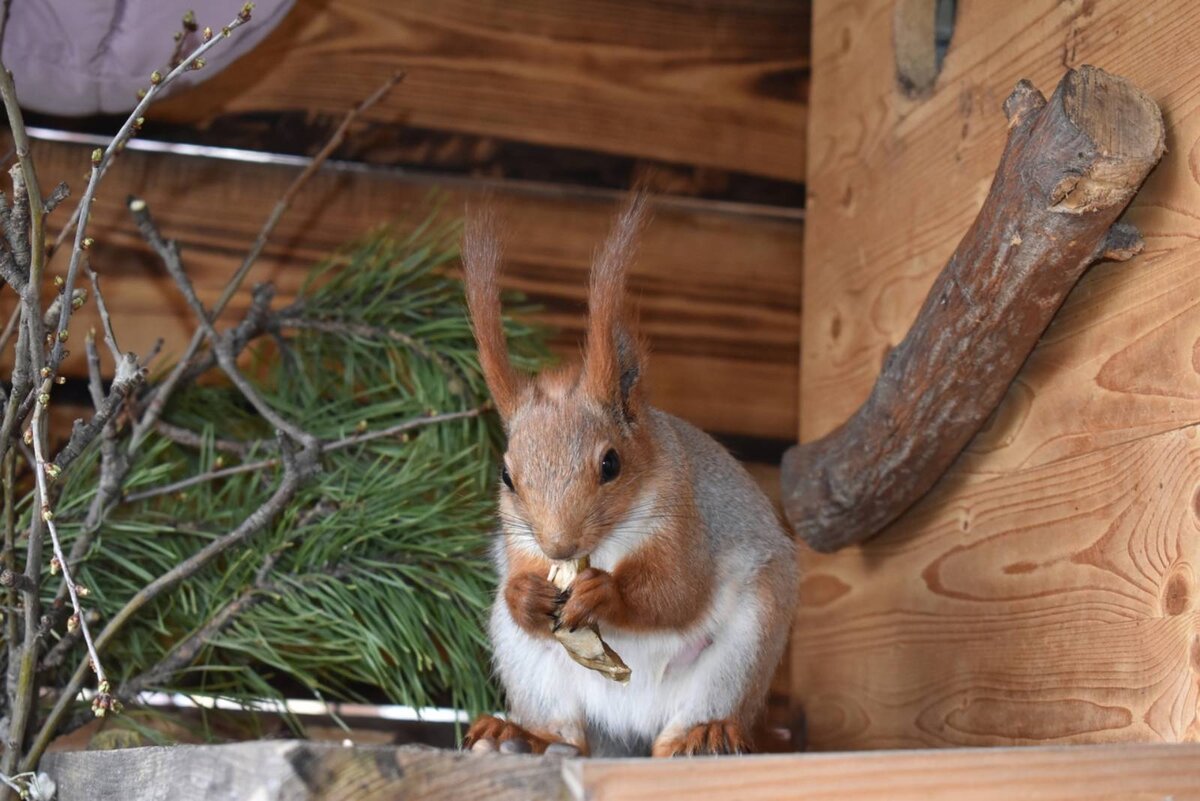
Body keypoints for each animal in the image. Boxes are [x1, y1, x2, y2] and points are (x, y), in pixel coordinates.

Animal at [458, 195, 796, 757]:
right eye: (507, 475)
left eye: (611, 463)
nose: (559, 546)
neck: (605, 546)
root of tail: (630, 725)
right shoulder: (520, 541)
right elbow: (518, 582)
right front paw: (527, 595)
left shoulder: (686, 521)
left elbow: (676, 591)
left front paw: (605, 595)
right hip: (527, 663)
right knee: (567, 733)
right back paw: (521, 735)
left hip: (746, 643)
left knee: (690, 719)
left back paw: (702, 737)